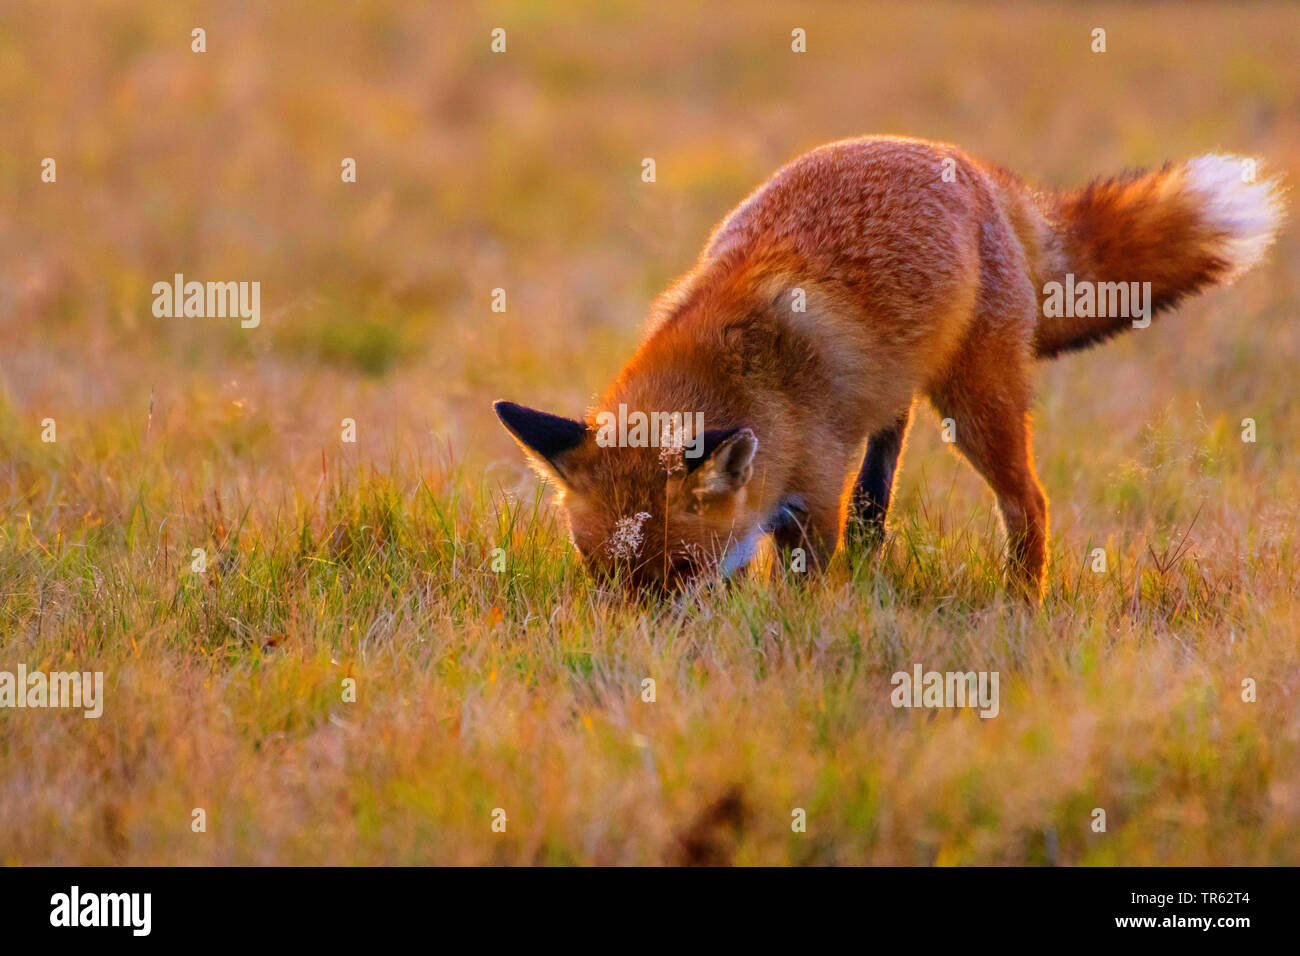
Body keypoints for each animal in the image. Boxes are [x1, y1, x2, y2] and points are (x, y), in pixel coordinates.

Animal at [491, 136, 1284, 598]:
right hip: (897, 405)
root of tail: (977, 169)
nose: (650, 657)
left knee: (1029, 502)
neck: (745, 372)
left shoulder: (814, 492)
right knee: (879, 503)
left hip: (975, 407)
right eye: (602, 574)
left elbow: (805, 579)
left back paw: (1022, 602)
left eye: (678, 571)